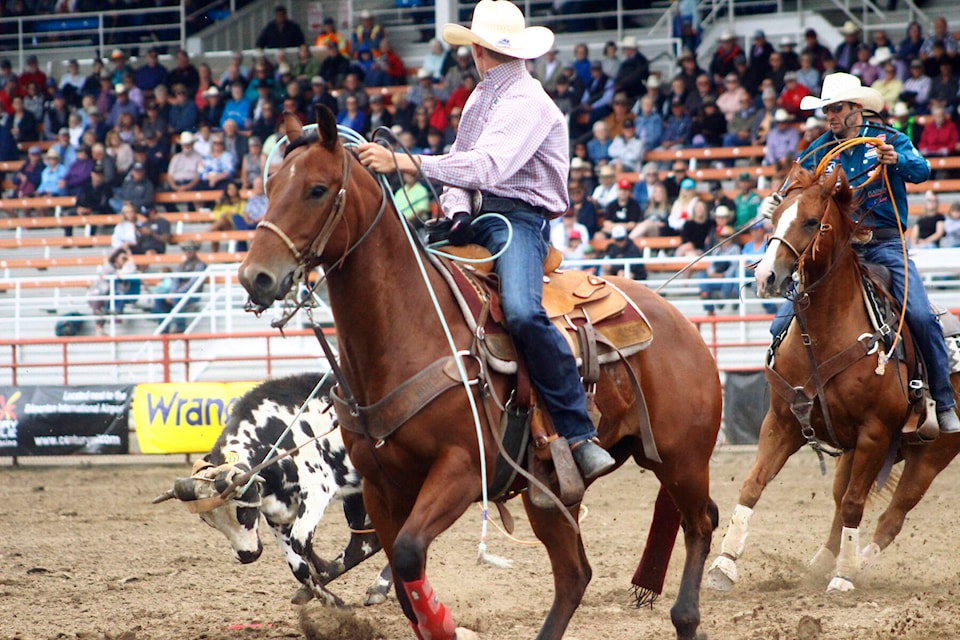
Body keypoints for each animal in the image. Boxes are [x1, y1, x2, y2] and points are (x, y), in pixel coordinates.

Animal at [238, 107, 720, 636]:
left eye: (317, 189)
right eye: (272, 184)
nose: (255, 276)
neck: (408, 328)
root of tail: (681, 323)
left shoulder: (463, 470)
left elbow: (408, 555)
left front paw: (450, 626)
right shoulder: (382, 489)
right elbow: (403, 582)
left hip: (681, 460)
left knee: (700, 524)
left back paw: (686, 617)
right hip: (553, 490)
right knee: (575, 575)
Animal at [704, 165, 960, 596]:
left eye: (811, 221)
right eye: (774, 217)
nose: (766, 276)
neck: (824, 336)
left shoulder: (875, 432)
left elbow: (857, 504)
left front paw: (844, 577)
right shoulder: (783, 422)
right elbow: (753, 484)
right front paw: (723, 564)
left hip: (931, 455)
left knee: (891, 515)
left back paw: (856, 565)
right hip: (855, 451)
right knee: (842, 502)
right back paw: (823, 561)